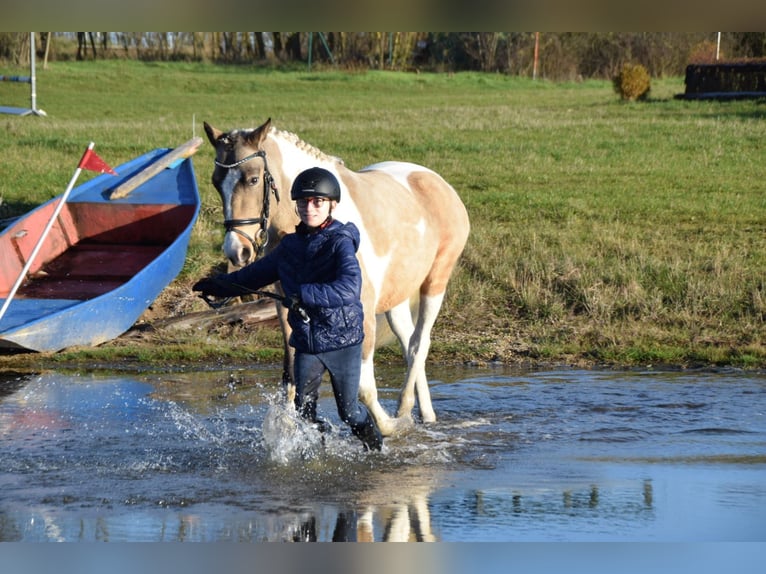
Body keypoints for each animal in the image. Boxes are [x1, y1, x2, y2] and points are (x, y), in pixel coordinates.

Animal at [204, 120, 468, 436]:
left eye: (253, 179)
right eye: (216, 181)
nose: (237, 250)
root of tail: (436, 181)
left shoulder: (361, 312)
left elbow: (363, 387)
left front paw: (390, 426)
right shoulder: (287, 309)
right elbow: (291, 378)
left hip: (435, 281)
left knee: (420, 344)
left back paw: (405, 411)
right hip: (397, 297)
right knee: (408, 342)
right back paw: (424, 414)